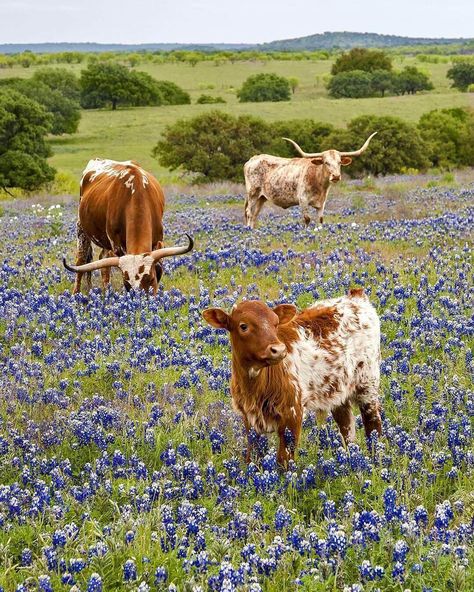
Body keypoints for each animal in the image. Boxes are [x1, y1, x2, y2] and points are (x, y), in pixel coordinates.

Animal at [62, 158, 193, 294]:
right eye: (127, 284)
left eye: (152, 279)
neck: (136, 194)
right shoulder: (117, 246)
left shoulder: (158, 239)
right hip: (81, 228)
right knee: (81, 260)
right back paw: (76, 293)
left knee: (103, 261)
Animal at [203, 290, 382, 470]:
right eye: (243, 326)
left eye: (275, 323)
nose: (278, 350)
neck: (254, 385)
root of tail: (355, 296)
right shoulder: (249, 418)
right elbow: (252, 457)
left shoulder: (292, 413)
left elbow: (284, 461)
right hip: (337, 390)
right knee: (347, 427)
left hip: (368, 383)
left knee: (373, 424)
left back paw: (375, 459)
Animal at [244, 133, 378, 228]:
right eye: (326, 162)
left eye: (339, 162)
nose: (336, 176)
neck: (319, 183)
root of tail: (252, 159)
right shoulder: (303, 201)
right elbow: (307, 219)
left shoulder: (322, 203)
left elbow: (320, 220)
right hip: (252, 194)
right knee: (249, 212)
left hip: (262, 197)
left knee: (255, 215)